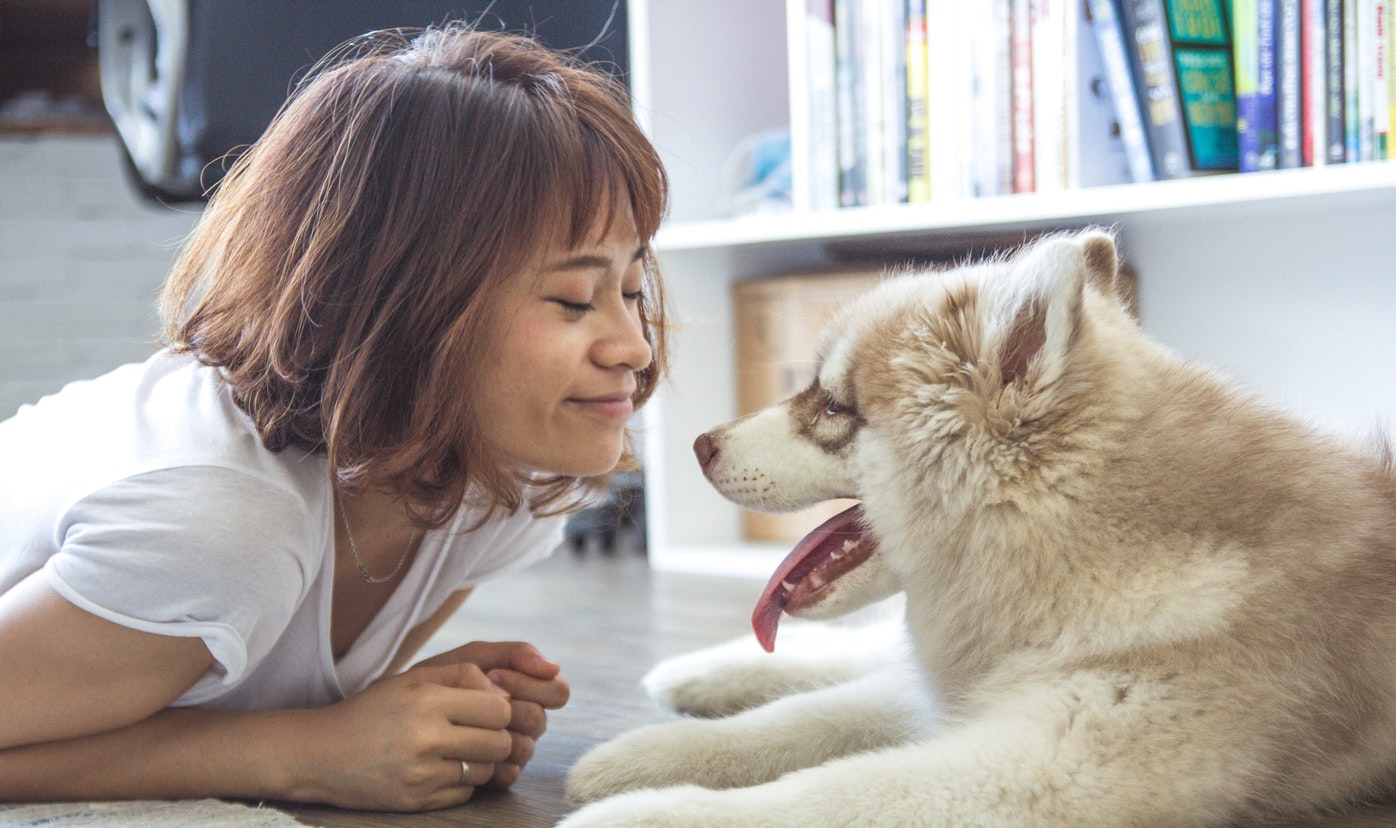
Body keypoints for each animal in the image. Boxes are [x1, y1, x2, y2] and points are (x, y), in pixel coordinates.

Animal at [561, 228, 1396, 821]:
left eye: (830, 407)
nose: (700, 445)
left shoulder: (1046, 764)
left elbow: (827, 791)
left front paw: (643, 813)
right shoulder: (972, 698)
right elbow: (797, 722)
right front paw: (646, 754)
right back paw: (701, 673)